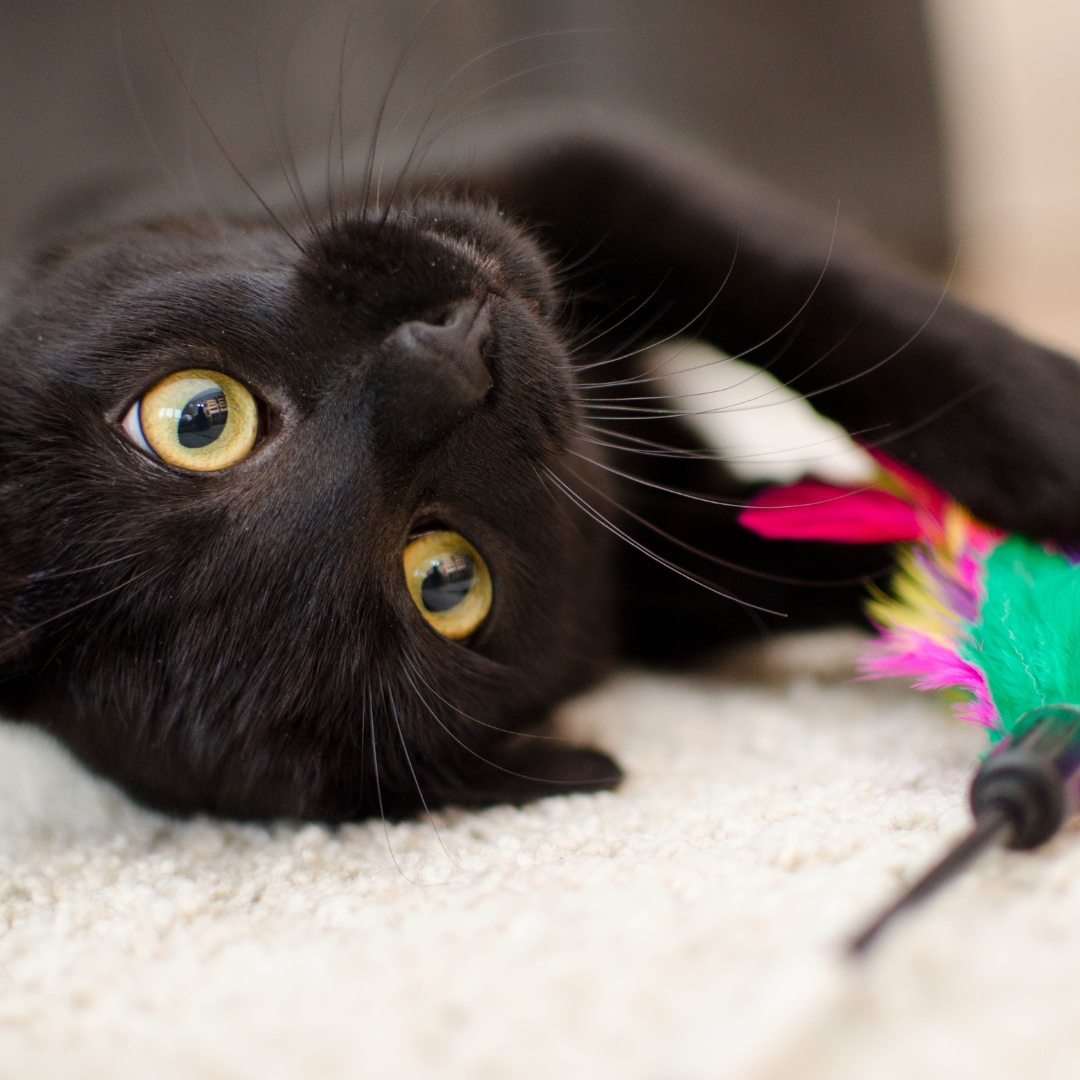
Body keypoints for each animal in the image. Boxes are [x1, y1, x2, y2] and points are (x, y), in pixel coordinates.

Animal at [2, 111, 1080, 816]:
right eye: (443, 580)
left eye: (197, 418)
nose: (451, 362)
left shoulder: (580, 160)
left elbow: (839, 310)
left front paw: (1052, 435)